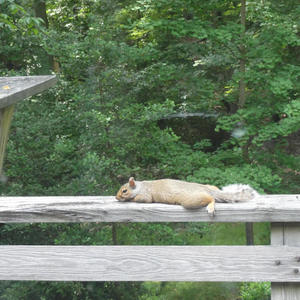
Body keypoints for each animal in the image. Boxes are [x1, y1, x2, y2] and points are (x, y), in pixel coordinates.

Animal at [116, 177, 258, 217]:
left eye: (124, 190)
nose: (117, 197)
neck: (140, 186)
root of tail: (206, 189)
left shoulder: (146, 195)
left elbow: (142, 199)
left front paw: (131, 198)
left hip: (190, 201)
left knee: (210, 199)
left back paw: (211, 206)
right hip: (210, 187)